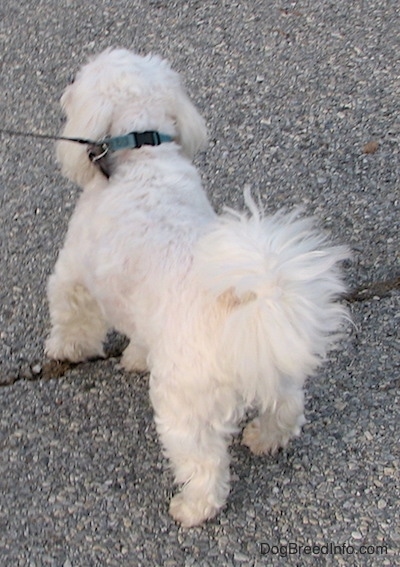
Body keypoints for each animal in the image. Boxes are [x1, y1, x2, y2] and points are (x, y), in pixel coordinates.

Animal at [45, 47, 348, 528]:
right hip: (274, 370)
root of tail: (237, 308)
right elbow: (141, 338)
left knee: (205, 465)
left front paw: (65, 349)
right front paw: (136, 358)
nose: (68, 81)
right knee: (287, 407)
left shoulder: (74, 275)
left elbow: (73, 317)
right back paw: (266, 437)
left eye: (80, 78)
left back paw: (192, 508)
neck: (144, 155)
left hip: (185, 409)